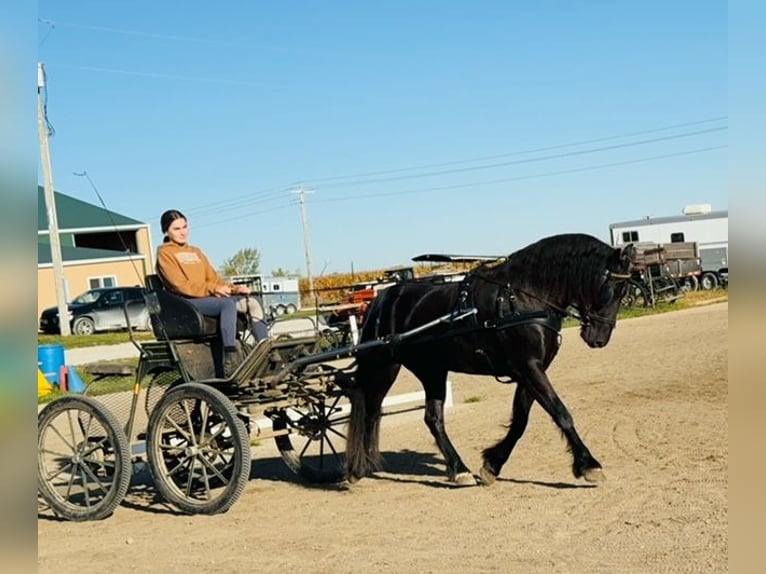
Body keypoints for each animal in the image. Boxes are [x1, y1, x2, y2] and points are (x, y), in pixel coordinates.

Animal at [346, 232, 636, 488]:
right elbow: (560, 412)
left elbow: (520, 421)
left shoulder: (528, 371)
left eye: (626, 291)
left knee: (432, 418)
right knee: (370, 411)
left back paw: (458, 470)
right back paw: (359, 467)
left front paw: (492, 465)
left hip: (432, 370)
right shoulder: (529, 368)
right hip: (384, 367)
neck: (522, 296)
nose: (599, 338)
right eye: (611, 289)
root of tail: (383, 298)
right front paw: (589, 464)